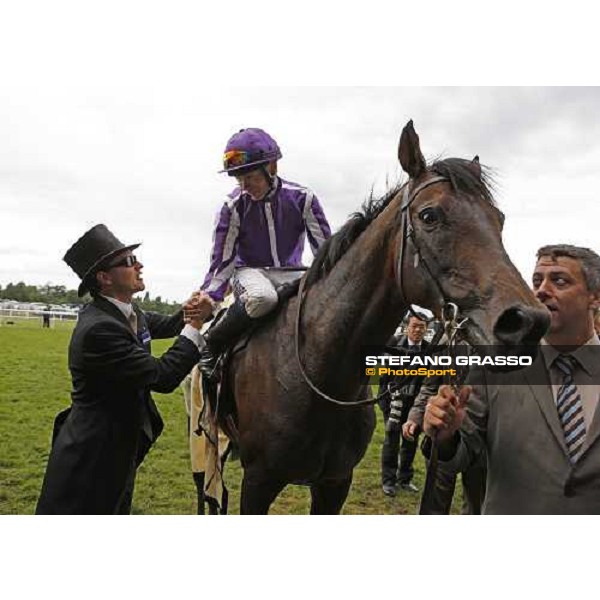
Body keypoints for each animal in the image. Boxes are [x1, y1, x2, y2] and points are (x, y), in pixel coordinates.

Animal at [229, 122, 548, 516]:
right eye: (429, 216)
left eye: (498, 220)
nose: (528, 322)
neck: (319, 374)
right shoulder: (258, 482)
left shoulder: (335, 483)